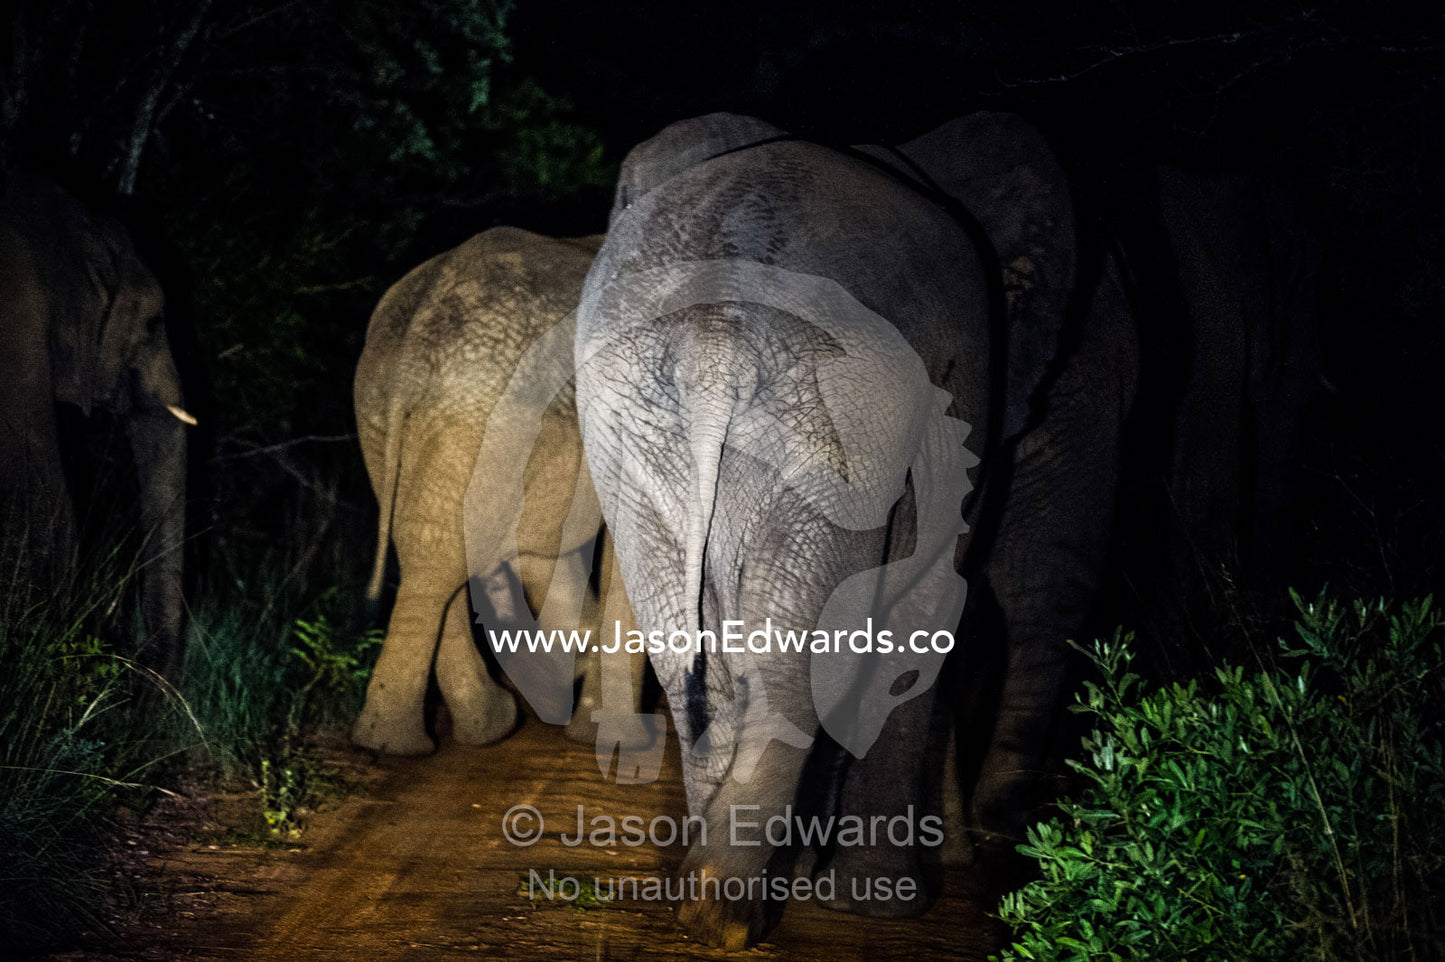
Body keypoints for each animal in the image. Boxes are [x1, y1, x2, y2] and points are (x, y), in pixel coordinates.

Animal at [574, 112, 1136, 947]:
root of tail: (717, 338)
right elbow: (924, 606)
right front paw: (881, 902)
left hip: (654, 420)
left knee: (696, 652)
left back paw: (711, 904)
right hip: (826, 417)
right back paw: (733, 913)